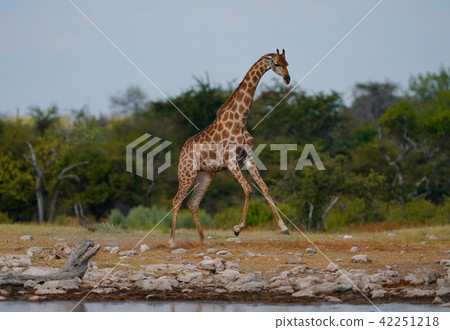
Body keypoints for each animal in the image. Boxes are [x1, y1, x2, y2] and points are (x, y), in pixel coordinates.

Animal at [170, 49, 292, 248]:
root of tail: (182, 151)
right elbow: (249, 190)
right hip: (187, 173)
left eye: (287, 63)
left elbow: (264, 188)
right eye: (276, 64)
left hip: (206, 175)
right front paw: (237, 228)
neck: (240, 120)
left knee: (193, 203)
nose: (287, 79)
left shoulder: (248, 158)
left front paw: (284, 228)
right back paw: (172, 241)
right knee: (177, 200)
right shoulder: (231, 161)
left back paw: (204, 241)